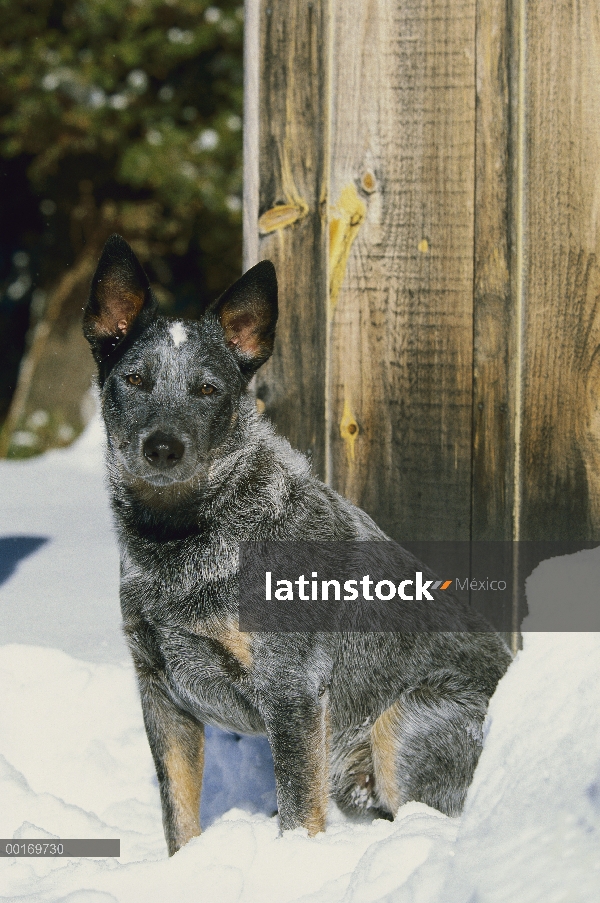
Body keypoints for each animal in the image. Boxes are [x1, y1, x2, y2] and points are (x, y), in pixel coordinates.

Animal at [83, 233, 510, 856]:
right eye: (135, 379)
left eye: (207, 389)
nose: (163, 447)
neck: (184, 540)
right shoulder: (159, 689)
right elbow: (178, 815)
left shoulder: (294, 690)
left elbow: (298, 814)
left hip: (406, 721)